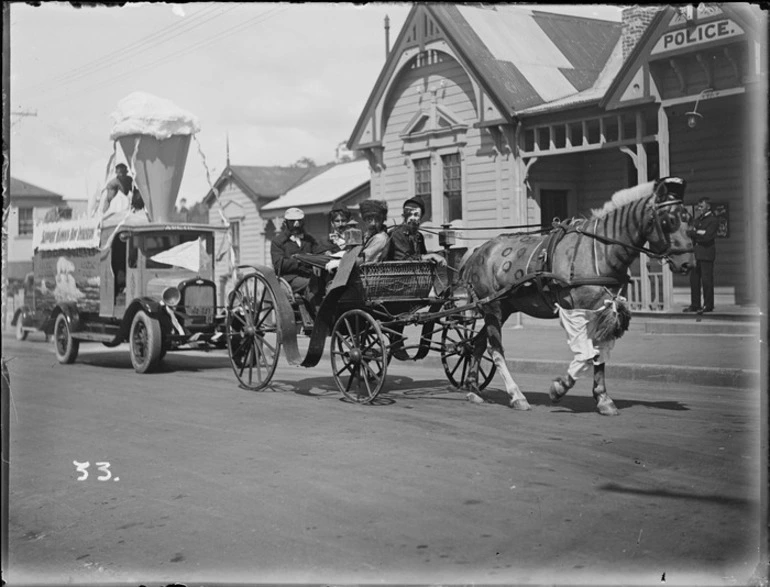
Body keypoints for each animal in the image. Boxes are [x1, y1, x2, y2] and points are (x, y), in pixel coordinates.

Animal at [460, 177, 692, 416]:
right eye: (669, 220)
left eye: (689, 218)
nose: (687, 263)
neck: (599, 251)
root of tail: (479, 250)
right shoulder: (579, 310)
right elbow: (586, 354)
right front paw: (560, 387)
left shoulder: (604, 310)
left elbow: (598, 352)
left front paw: (603, 398)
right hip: (493, 307)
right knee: (495, 349)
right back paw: (516, 395)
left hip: (503, 308)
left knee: (477, 344)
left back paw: (474, 389)